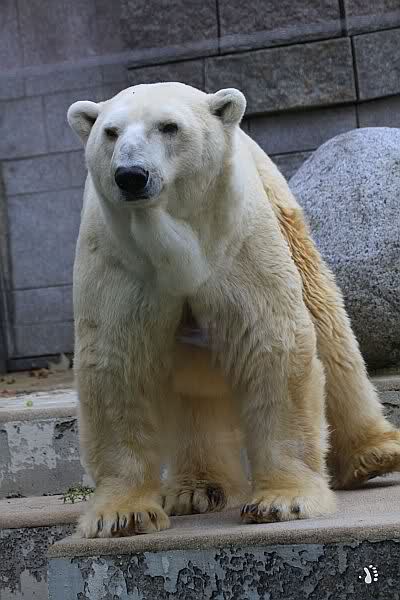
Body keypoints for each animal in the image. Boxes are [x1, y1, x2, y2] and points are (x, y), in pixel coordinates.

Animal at [67, 82, 400, 538]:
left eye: (169, 127)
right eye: (111, 132)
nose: (131, 175)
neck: (174, 244)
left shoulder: (236, 246)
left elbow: (269, 344)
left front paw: (282, 501)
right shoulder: (119, 260)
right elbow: (118, 363)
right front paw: (121, 514)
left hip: (280, 210)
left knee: (327, 321)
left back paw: (375, 454)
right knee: (194, 384)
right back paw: (197, 488)